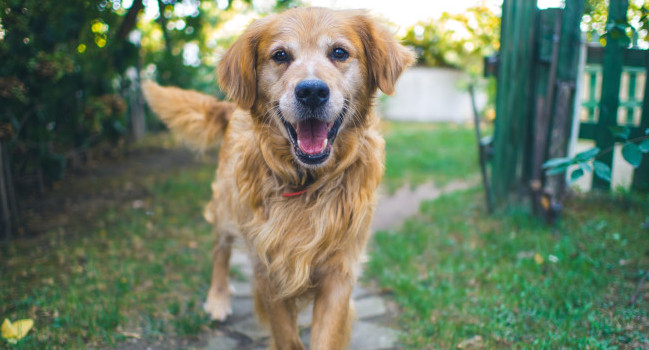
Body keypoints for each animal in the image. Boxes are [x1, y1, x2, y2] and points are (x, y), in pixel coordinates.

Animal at [144, 6, 412, 348]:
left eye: (339, 52)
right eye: (280, 55)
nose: (311, 92)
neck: (307, 182)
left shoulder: (339, 270)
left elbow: (325, 334)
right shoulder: (269, 267)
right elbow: (286, 335)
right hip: (227, 206)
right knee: (220, 249)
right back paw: (218, 297)